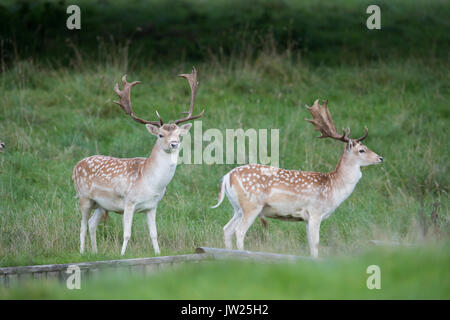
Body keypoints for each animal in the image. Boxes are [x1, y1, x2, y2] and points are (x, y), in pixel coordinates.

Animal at [72, 67, 204, 255]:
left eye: (179, 134)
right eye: (160, 134)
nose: (174, 143)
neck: (150, 182)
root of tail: (76, 166)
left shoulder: (152, 206)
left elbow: (154, 234)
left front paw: (158, 253)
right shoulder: (129, 201)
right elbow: (127, 233)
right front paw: (121, 255)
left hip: (102, 204)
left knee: (91, 224)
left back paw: (95, 252)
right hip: (84, 197)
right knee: (82, 225)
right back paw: (82, 252)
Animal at [211, 100, 384, 258]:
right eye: (362, 150)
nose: (380, 158)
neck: (333, 186)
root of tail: (227, 177)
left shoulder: (306, 218)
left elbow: (310, 244)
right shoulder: (315, 212)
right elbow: (315, 244)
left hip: (237, 207)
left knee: (227, 229)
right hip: (251, 205)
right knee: (239, 231)